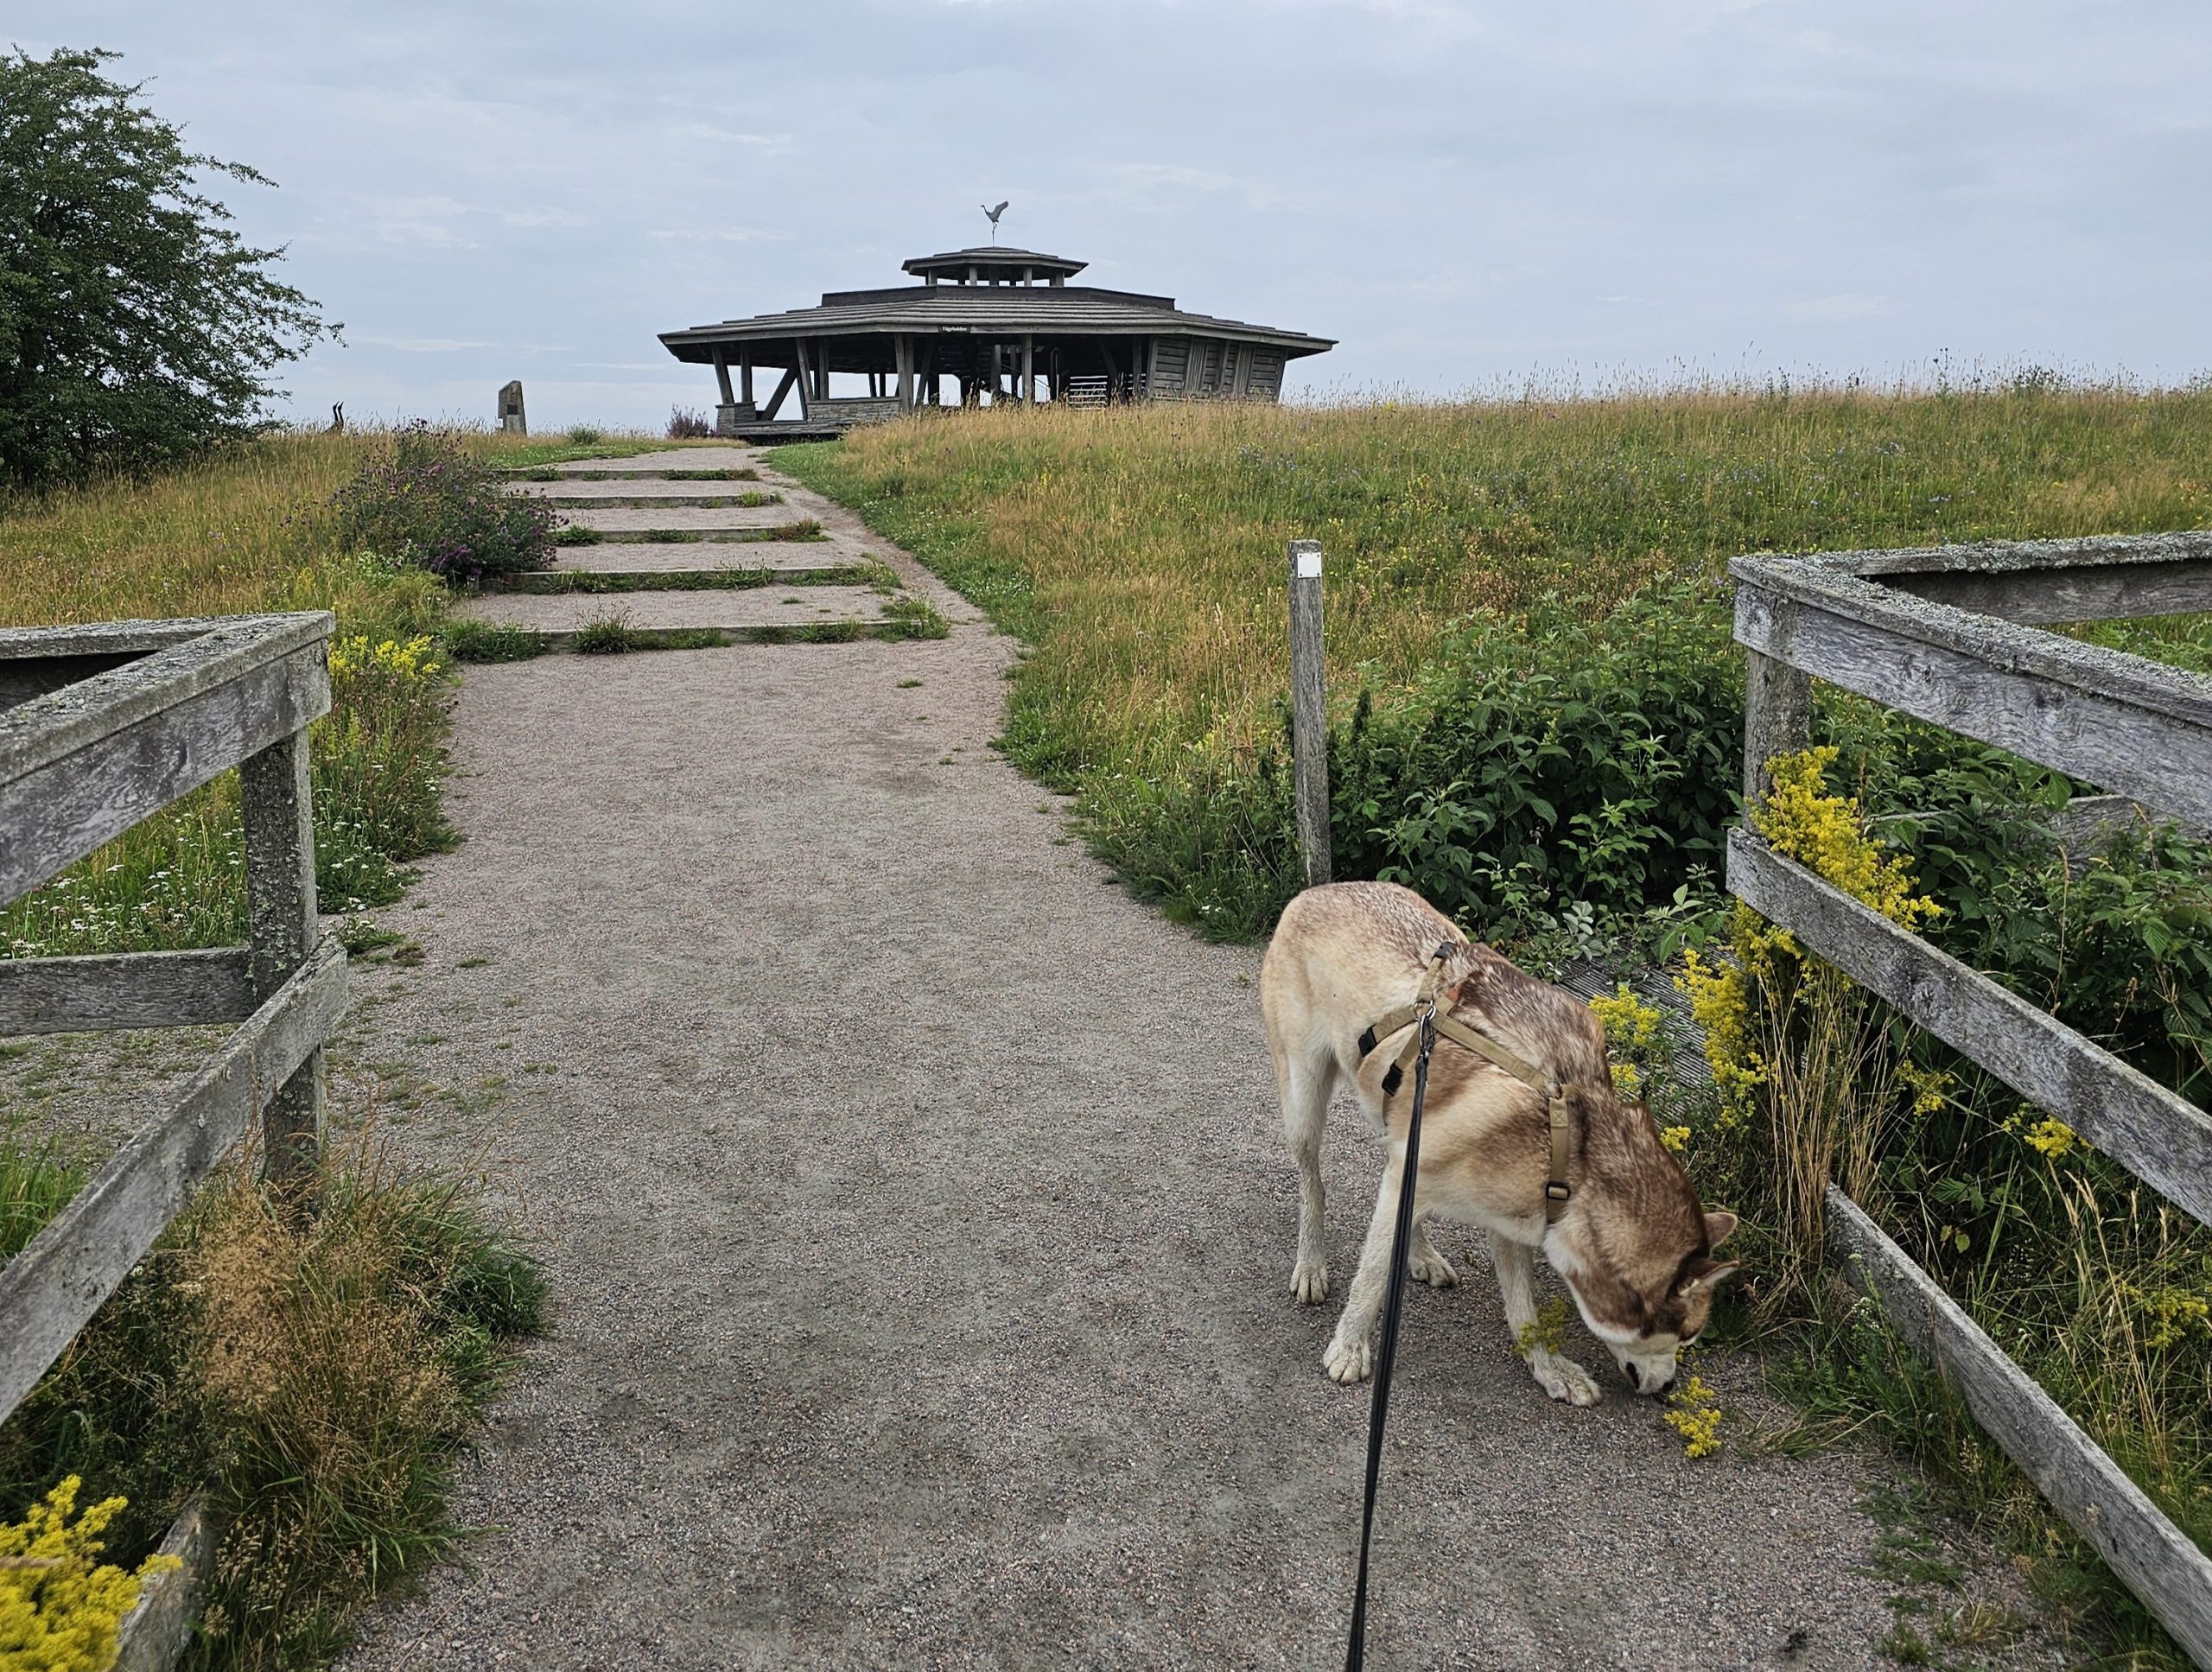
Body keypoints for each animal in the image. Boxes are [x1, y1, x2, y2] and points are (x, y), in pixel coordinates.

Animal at [1260, 881, 1738, 1404]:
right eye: (1686, 1337)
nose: (1668, 1387)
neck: (1571, 1145)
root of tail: (1319, 890)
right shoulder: (1422, 1186)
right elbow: (1370, 1280)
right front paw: (1349, 1348)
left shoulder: (1509, 1218)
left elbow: (1524, 1310)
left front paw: (1548, 1368)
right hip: (1305, 1103)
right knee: (1313, 1183)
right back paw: (1311, 1264)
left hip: (1399, 1125)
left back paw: (1421, 1255)